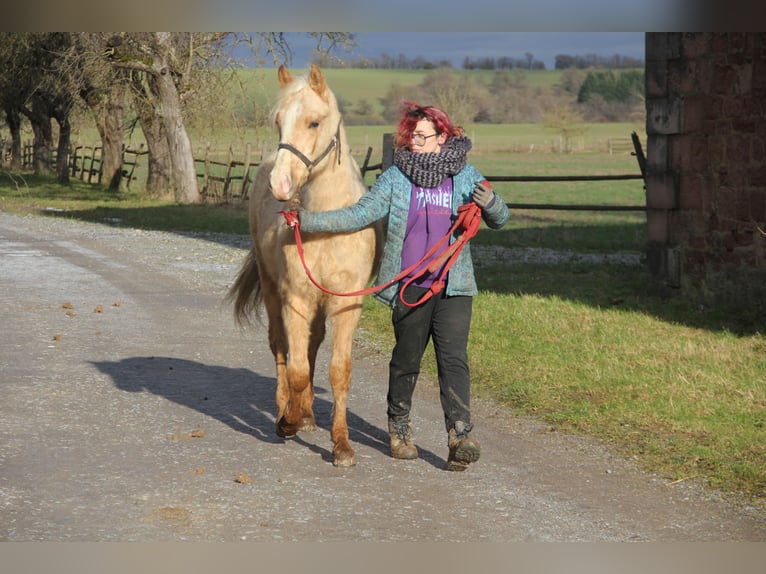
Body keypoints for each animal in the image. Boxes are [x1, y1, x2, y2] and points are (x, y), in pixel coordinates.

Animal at [230, 65, 382, 468]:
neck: (329, 223)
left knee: (312, 346)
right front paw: (288, 421)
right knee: (281, 347)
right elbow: (297, 369)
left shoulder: (346, 304)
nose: (280, 184)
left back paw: (310, 414)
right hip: (272, 290)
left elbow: (339, 371)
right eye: (278, 121)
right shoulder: (296, 299)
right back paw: (288, 409)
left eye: (314, 122)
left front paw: (341, 445)